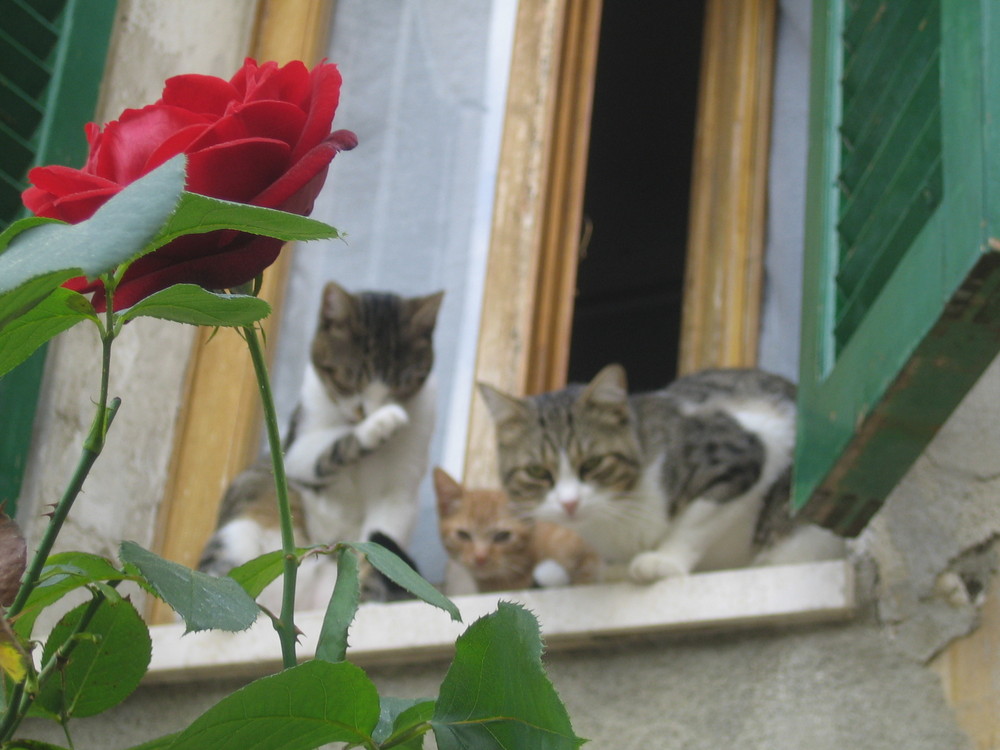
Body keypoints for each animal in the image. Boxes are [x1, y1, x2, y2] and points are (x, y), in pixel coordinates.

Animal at [199, 282, 442, 612]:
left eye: (401, 383)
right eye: (347, 378)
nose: (367, 411)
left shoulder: (400, 490)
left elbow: (382, 552)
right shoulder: (298, 450)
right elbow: (333, 445)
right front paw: (378, 425)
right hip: (236, 538)